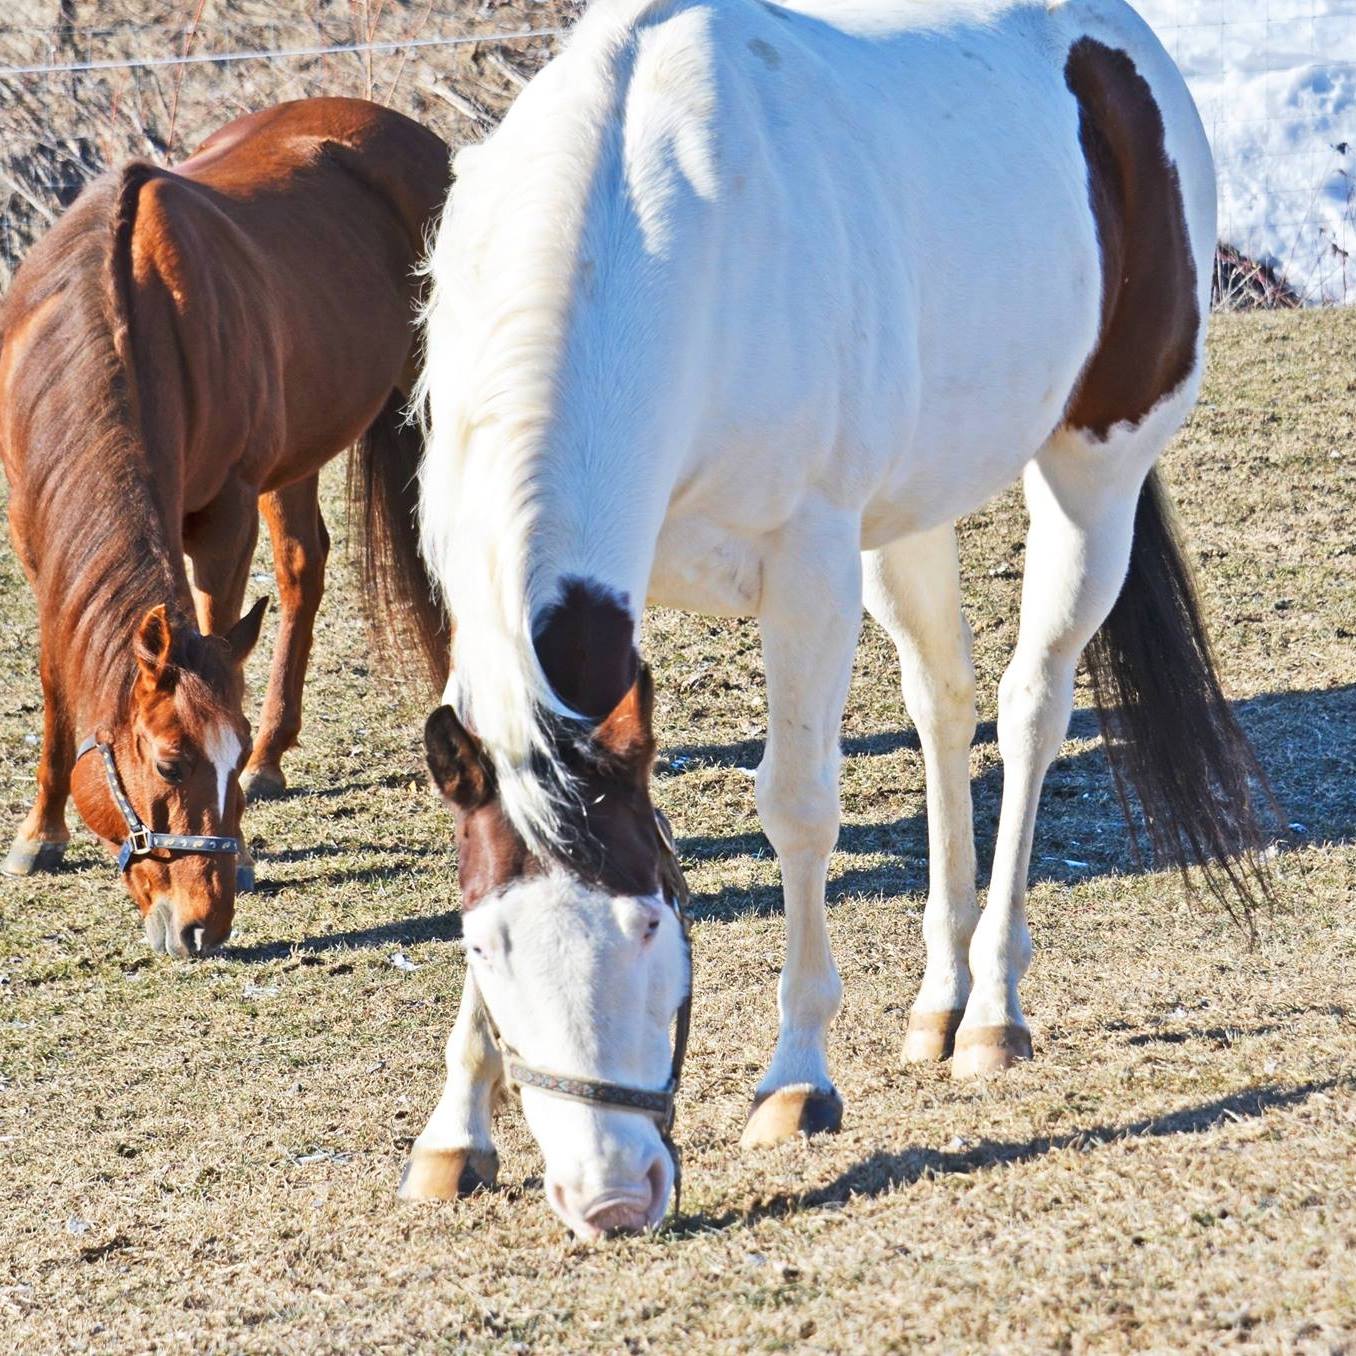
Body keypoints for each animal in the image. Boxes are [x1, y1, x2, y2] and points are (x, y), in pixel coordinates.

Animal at [0, 98, 452, 954]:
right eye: (169, 765)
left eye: (226, 753)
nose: (202, 926)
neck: (121, 313)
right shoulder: (39, 540)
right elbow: (53, 677)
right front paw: (39, 833)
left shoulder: (223, 518)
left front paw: (243, 838)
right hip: (300, 449)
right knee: (305, 565)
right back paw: (282, 757)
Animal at [376, 0, 1263, 1236]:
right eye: (489, 945)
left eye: (650, 924)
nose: (611, 1196)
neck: (643, 240)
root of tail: (1116, 49)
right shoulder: (481, 612)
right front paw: (456, 1129)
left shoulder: (807, 570)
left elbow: (797, 810)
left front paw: (796, 1079)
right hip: (904, 520)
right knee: (943, 705)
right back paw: (940, 1000)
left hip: (1093, 473)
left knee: (1030, 709)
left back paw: (993, 1007)